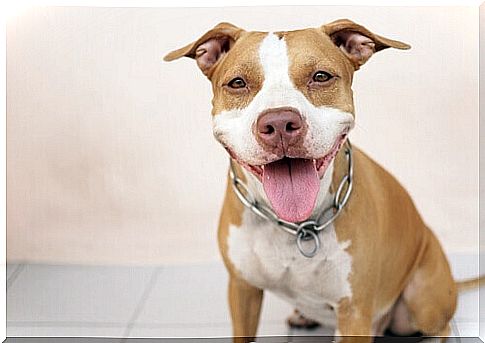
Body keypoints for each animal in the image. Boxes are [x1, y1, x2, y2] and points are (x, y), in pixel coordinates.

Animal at [164, 19, 480, 343]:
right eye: (238, 83)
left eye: (320, 77)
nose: (279, 123)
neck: (294, 226)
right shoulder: (242, 290)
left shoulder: (354, 311)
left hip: (422, 299)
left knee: (440, 325)